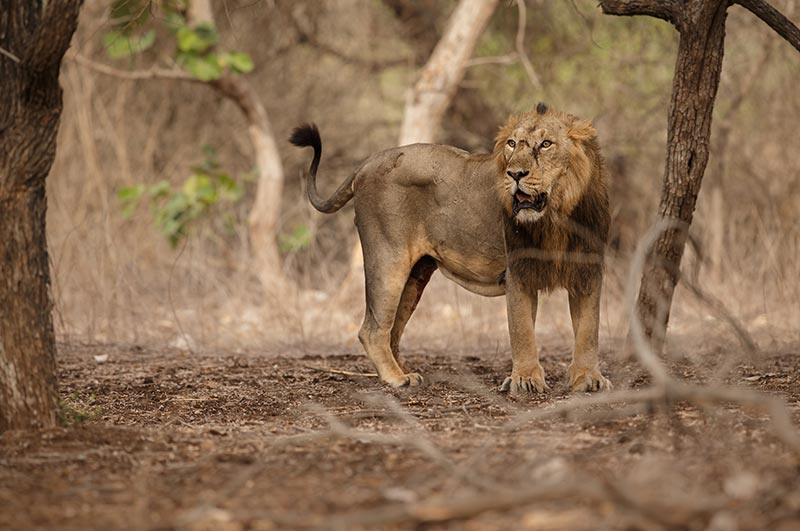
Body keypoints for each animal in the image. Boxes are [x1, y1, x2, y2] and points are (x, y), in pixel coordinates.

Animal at [294, 103, 612, 394]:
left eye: (546, 144)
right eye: (512, 143)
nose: (515, 174)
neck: (558, 216)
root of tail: (367, 162)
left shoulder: (588, 271)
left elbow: (589, 330)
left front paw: (589, 379)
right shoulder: (518, 272)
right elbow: (522, 331)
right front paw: (525, 380)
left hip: (416, 277)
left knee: (393, 331)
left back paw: (405, 372)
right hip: (388, 260)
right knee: (372, 330)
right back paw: (396, 379)